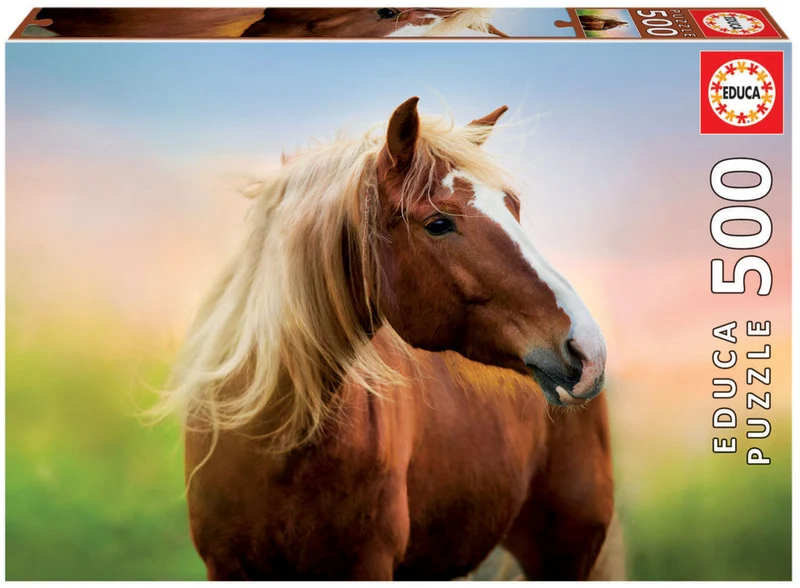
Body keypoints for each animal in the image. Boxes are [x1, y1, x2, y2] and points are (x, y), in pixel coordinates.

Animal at [159, 96, 619, 580]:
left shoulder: (368, 563)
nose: (588, 348)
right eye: (438, 223)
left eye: (512, 206)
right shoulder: (225, 564)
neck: (276, 440)